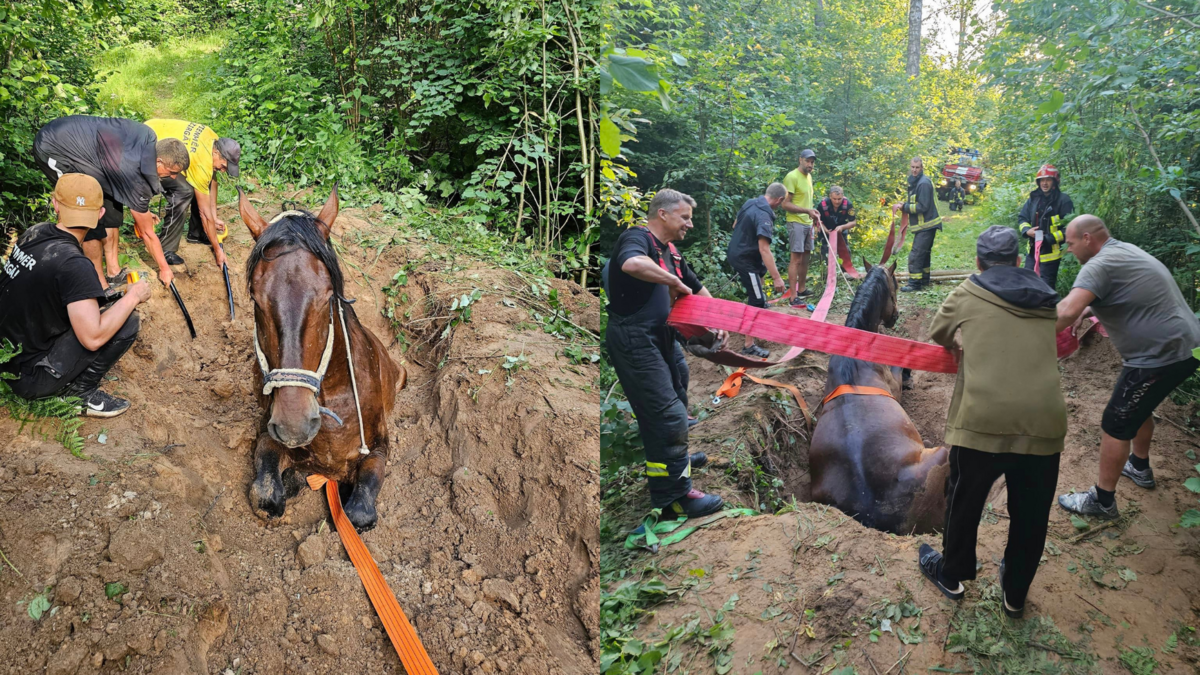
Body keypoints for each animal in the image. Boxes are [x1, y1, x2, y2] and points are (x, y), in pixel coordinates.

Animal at [236, 186, 405, 528]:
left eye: (328, 296)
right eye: (256, 299)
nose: (295, 425)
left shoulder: (379, 449)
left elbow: (359, 514)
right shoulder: (268, 433)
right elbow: (265, 495)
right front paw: (292, 482)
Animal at [806, 260, 945, 533]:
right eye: (896, 286)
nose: (896, 317)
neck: (854, 351)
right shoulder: (894, 384)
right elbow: (901, 365)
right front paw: (910, 376)